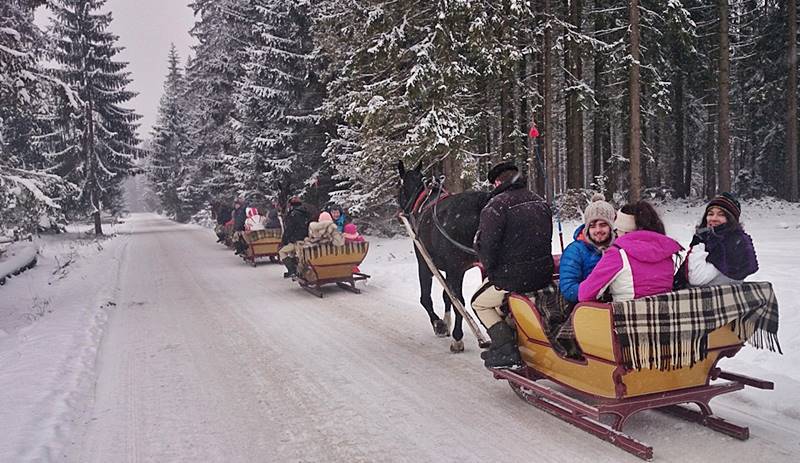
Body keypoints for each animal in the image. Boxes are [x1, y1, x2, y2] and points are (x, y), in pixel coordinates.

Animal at [396, 161, 490, 354]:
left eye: (399, 187)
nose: (400, 211)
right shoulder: (449, 269)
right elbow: (446, 296)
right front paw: (446, 321)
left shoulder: (425, 262)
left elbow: (426, 298)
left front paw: (440, 325)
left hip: (457, 267)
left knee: (460, 300)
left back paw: (458, 339)